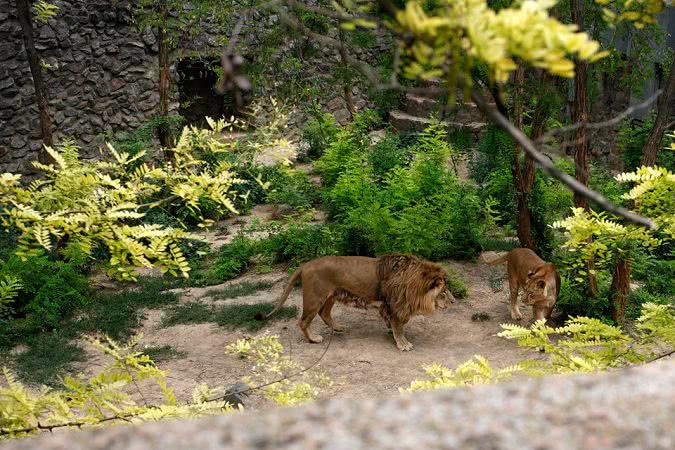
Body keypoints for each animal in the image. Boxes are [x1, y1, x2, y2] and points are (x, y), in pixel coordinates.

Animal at [264, 253, 448, 352]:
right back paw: (314, 339)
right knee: (303, 321)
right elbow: (398, 327)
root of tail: (305, 265)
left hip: (331, 296)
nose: (453, 301)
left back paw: (337, 327)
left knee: (324, 313)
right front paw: (403, 344)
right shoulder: (394, 305)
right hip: (314, 298)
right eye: (444, 292)